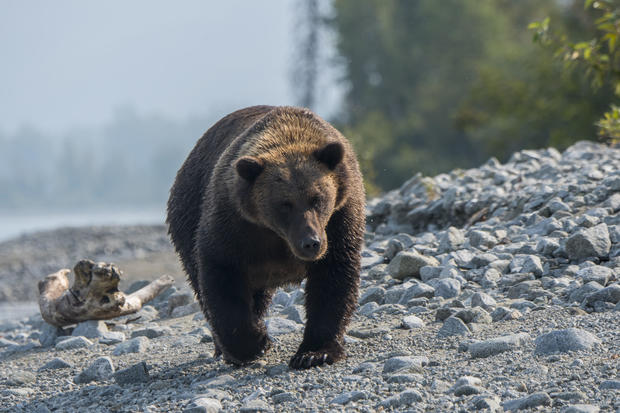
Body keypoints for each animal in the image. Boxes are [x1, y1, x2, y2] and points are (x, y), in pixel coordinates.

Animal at [167, 104, 366, 368]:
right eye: (285, 204)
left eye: (317, 198)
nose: (311, 243)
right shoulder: (234, 221)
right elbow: (221, 274)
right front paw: (254, 342)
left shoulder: (339, 217)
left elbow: (333, 276)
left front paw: (314, 353)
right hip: (188, 210)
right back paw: (224, 347)